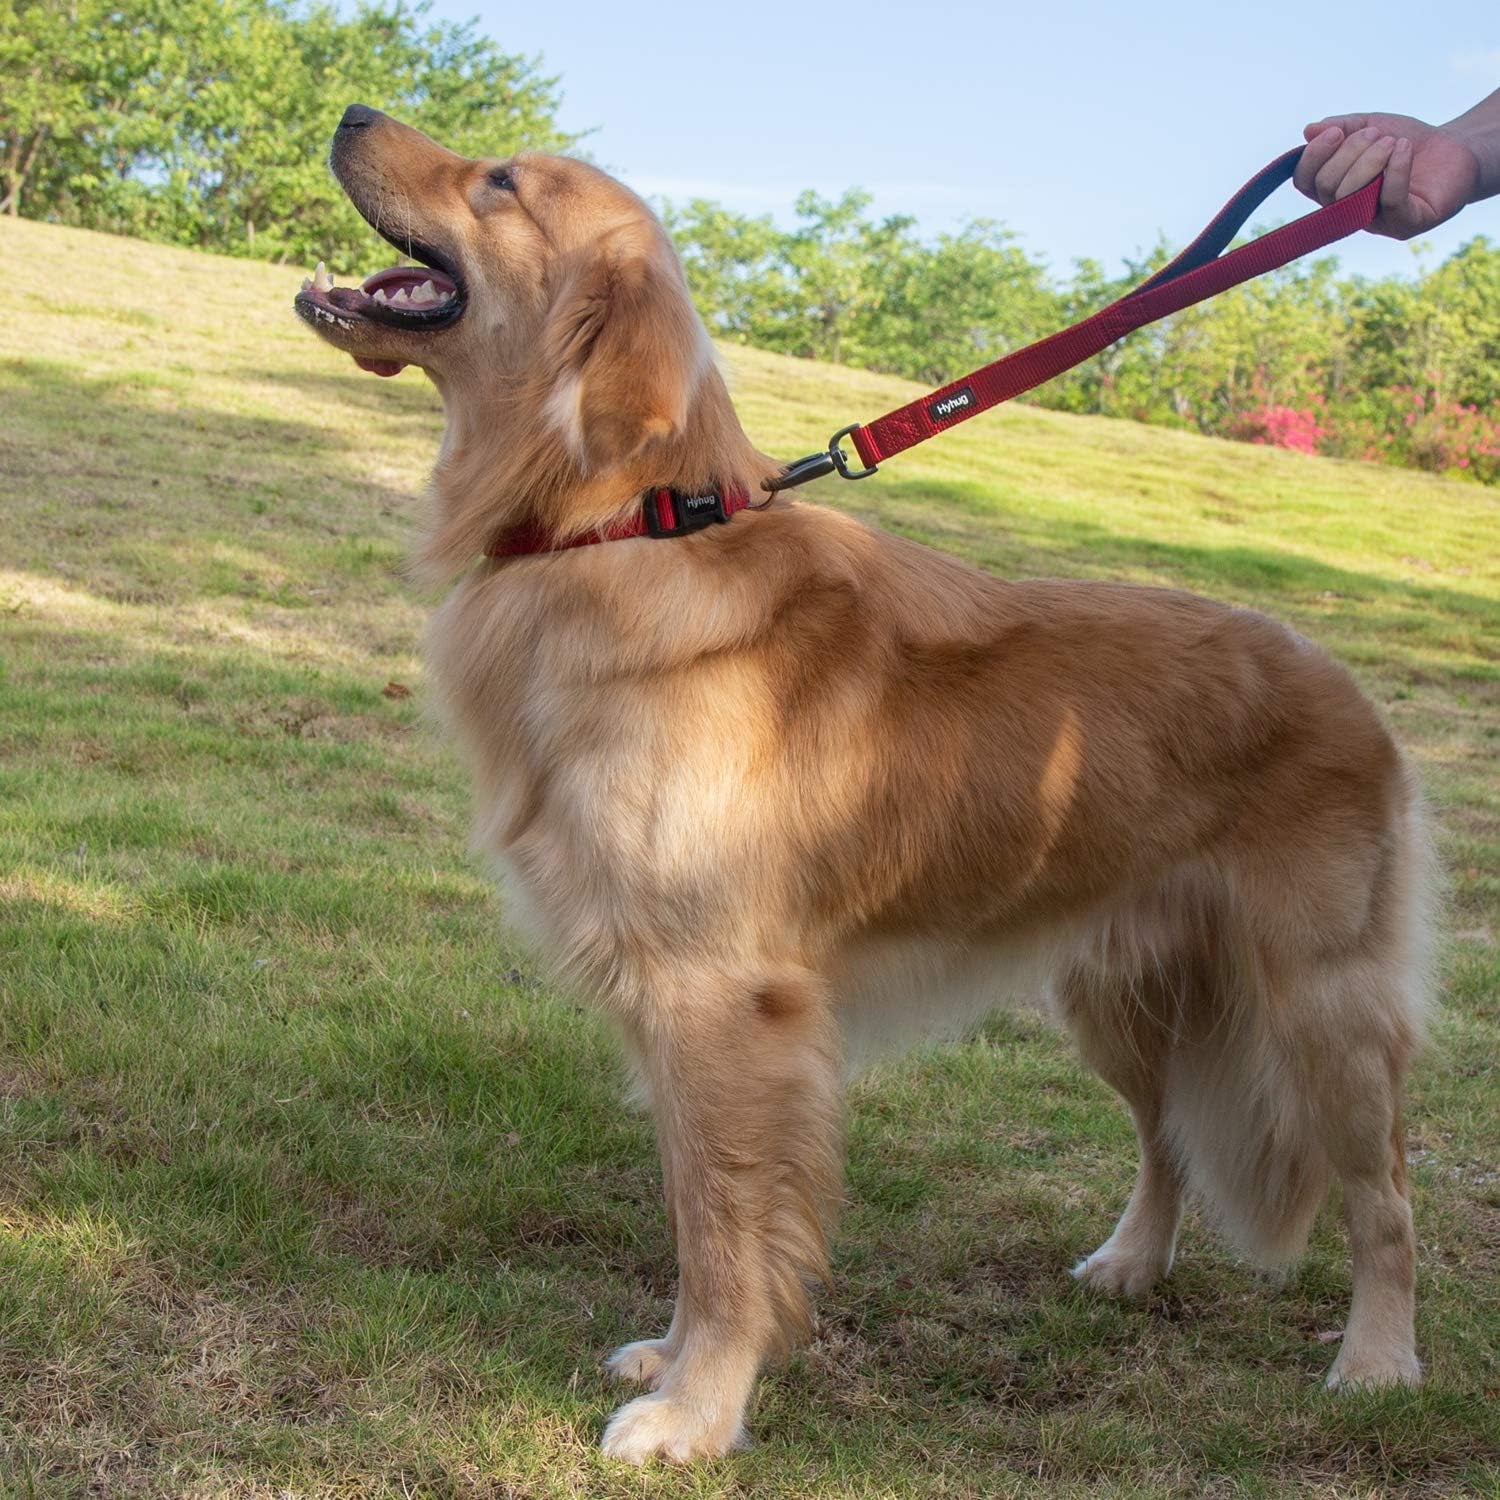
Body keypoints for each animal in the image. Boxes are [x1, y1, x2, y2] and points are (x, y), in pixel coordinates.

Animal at [292, 105, 1428, 1464]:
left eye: (501, 183)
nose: (352, 114)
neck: (625, 528)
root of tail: (1348, 687)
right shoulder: (679, 1005)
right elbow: (698, 1211)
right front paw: (676, 1363)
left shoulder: (726, 1001)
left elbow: (727, 1229)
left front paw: (697, 1411)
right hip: (1116, 994)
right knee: (1169, 1142)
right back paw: (1131, 1264)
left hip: (1320, 1014)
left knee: (1385, 1196)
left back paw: (1379, 1362)